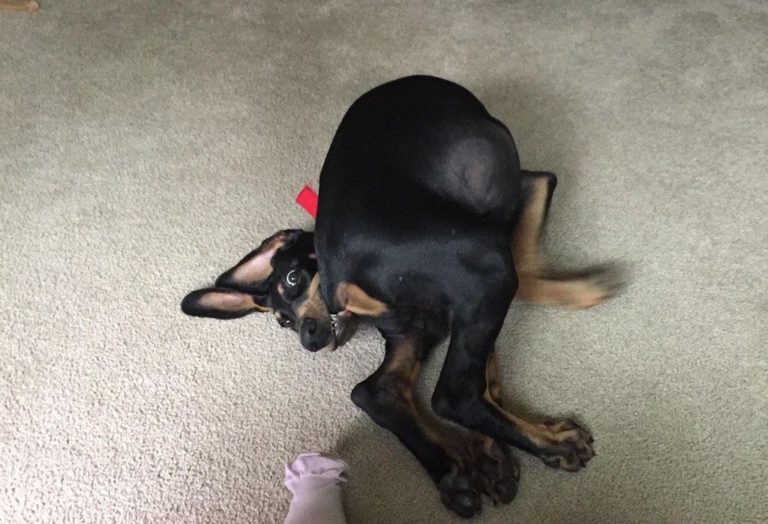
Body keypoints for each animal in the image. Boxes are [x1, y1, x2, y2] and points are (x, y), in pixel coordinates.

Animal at [181, 75, 620, 518]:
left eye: (291, 280)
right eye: (284, 321)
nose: (307, 336)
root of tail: (340, 273)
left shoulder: (436, 317)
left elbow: (473, 369)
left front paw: (485, 454)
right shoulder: (520, 204)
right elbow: (523, 278)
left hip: (428, 318)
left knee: (383, 390)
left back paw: (465, 469)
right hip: (489, 263)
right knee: (453, 394)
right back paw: (552, 447)